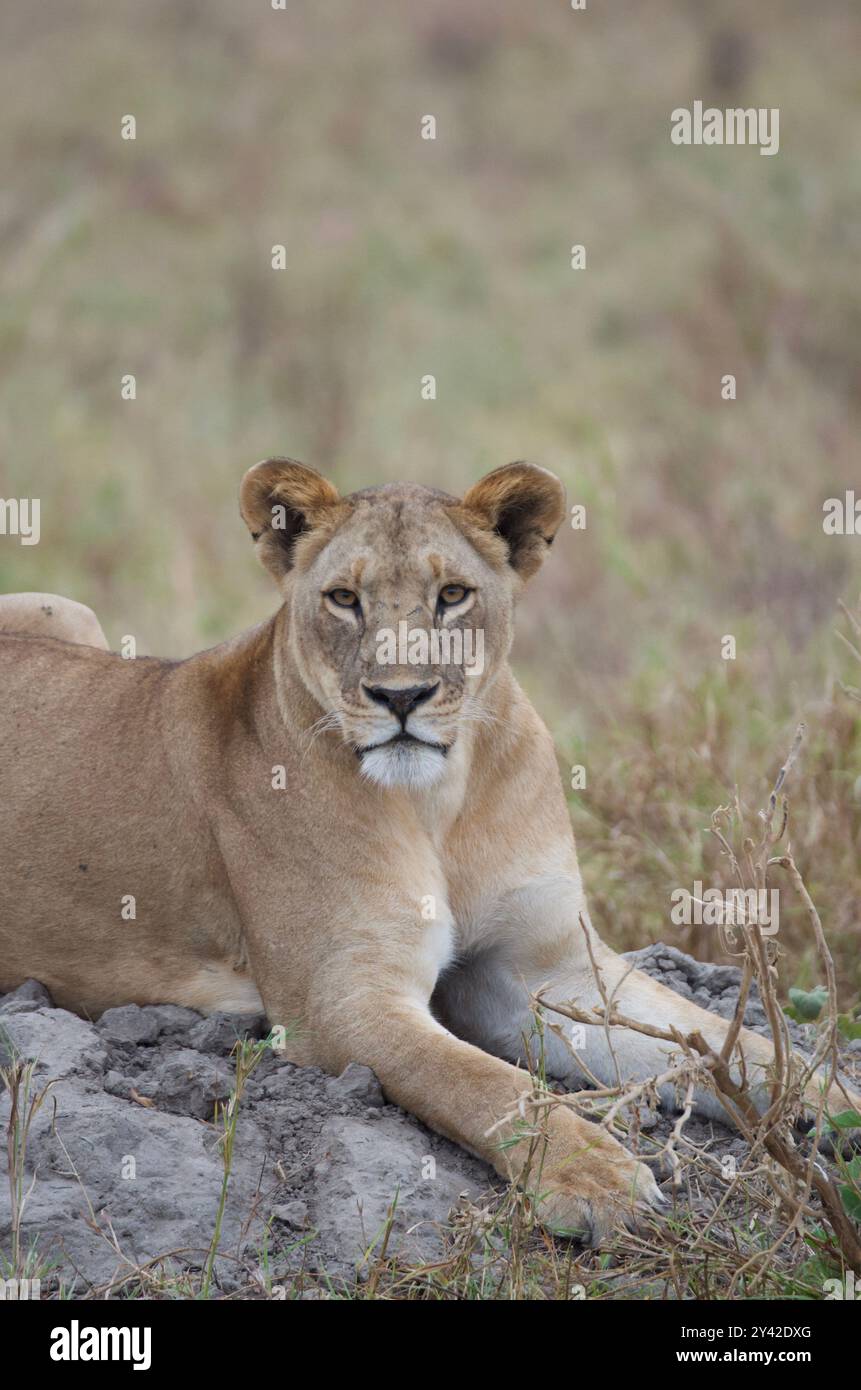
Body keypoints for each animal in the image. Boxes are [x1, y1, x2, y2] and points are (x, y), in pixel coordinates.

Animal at [0, 459, 855, 1242]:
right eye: (344, 598)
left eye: (452, 596)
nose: (401, 696)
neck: (439, 800)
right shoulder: (343, 1000)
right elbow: (480, 1082)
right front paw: (595, 1178)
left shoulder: (544, 968)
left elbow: (724, 1042)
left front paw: (834, 1106)